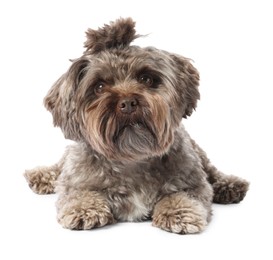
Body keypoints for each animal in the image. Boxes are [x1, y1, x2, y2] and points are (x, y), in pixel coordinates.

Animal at [24, 18, 248, 234]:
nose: (128, 103)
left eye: (146, 78)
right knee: (58, 166)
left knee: (212, 171)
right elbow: (79, 193)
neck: (132, 159)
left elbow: (183, 195)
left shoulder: (192, 181)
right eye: (99, 86)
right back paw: (40, 175)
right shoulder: (74, 181)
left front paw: (178, 212)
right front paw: (85, 209)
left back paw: (230, 185)